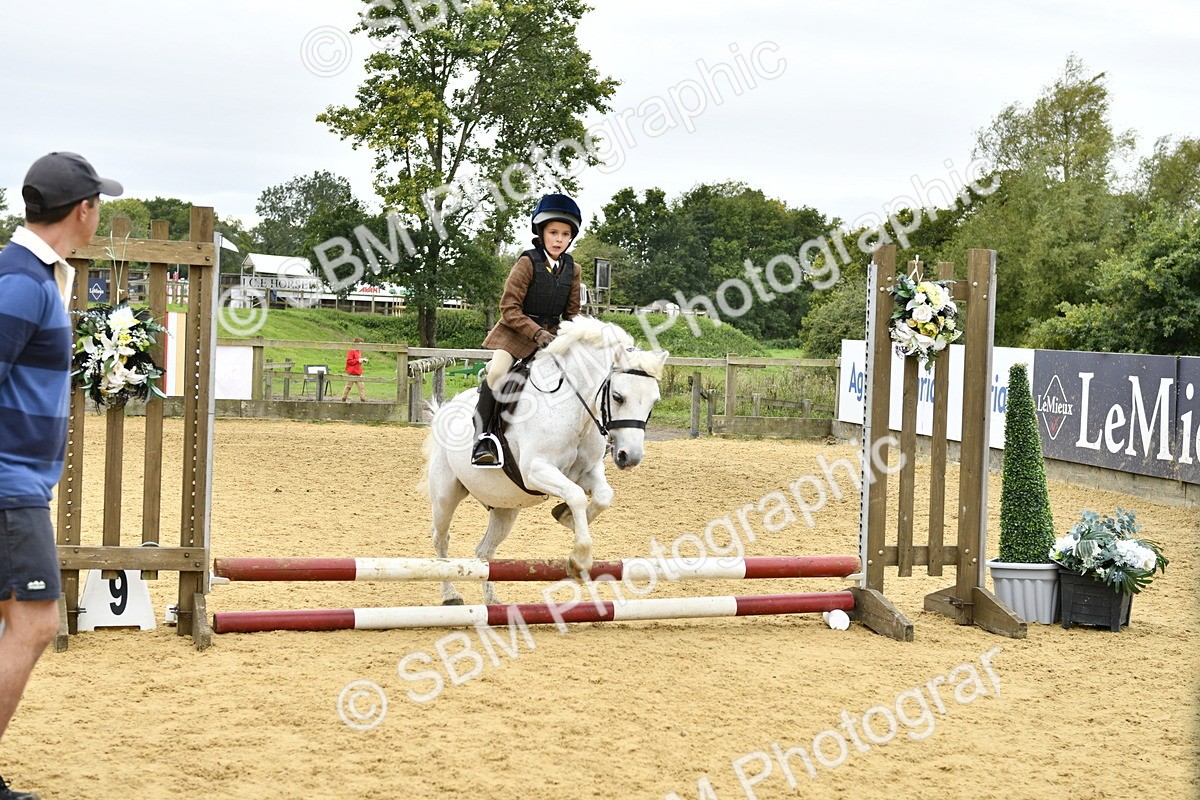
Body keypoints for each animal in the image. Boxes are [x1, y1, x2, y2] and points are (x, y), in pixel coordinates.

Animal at [421, 317, 669, 606]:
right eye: (618, 397)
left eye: (654, 401)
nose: (631, 457)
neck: (574, 410)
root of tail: (446, 408)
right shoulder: (536, 471)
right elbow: (576, 496)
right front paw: (580, 559)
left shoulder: (587, 472)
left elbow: (604, 496)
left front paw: (566, 519)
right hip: (445, 495)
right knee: (440, 538)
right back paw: (451, 595)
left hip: (505, 506)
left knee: (485, 551)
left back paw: (492, 602)